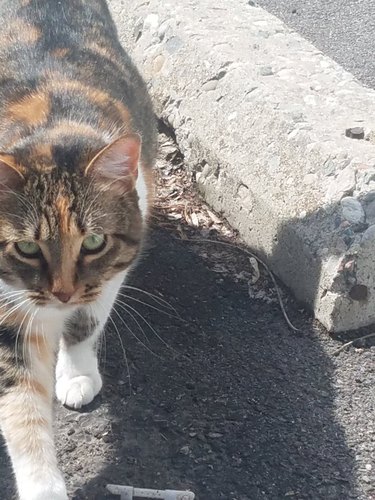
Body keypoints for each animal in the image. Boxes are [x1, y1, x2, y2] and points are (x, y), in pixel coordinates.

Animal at [0, 1, 157, 498]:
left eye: (93, 241)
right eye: (26, 247)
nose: (63, 293)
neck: (51, 125)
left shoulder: (112, 269)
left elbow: (86, 323)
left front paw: (77, 374)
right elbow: (21, 402)